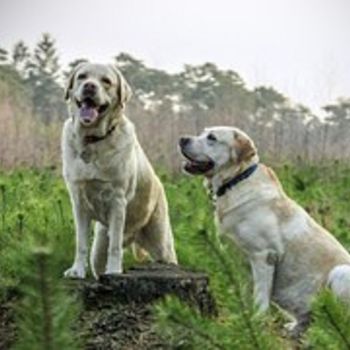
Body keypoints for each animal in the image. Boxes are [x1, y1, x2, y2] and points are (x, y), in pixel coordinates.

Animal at [61, 61, 176, 278]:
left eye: (106, 81)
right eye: (82, 76)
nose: (90, 86)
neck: (93, 140)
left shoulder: (117, 201)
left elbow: (114, 247)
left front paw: (114, 271)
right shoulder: (78, 202)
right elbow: (80, 243)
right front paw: (77, 271)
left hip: (162, 246)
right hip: (98, 248)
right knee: (98, 262)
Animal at [179, 127, 348, 334]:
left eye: (212, 137)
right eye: (203, 132)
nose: (182, 139)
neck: (236, 181)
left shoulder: (264, 255)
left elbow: (260, 297)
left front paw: (257, 321)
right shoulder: (238, 260)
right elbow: (245, 292)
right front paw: (245, 320)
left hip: (340, 272)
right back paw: (294, 329)